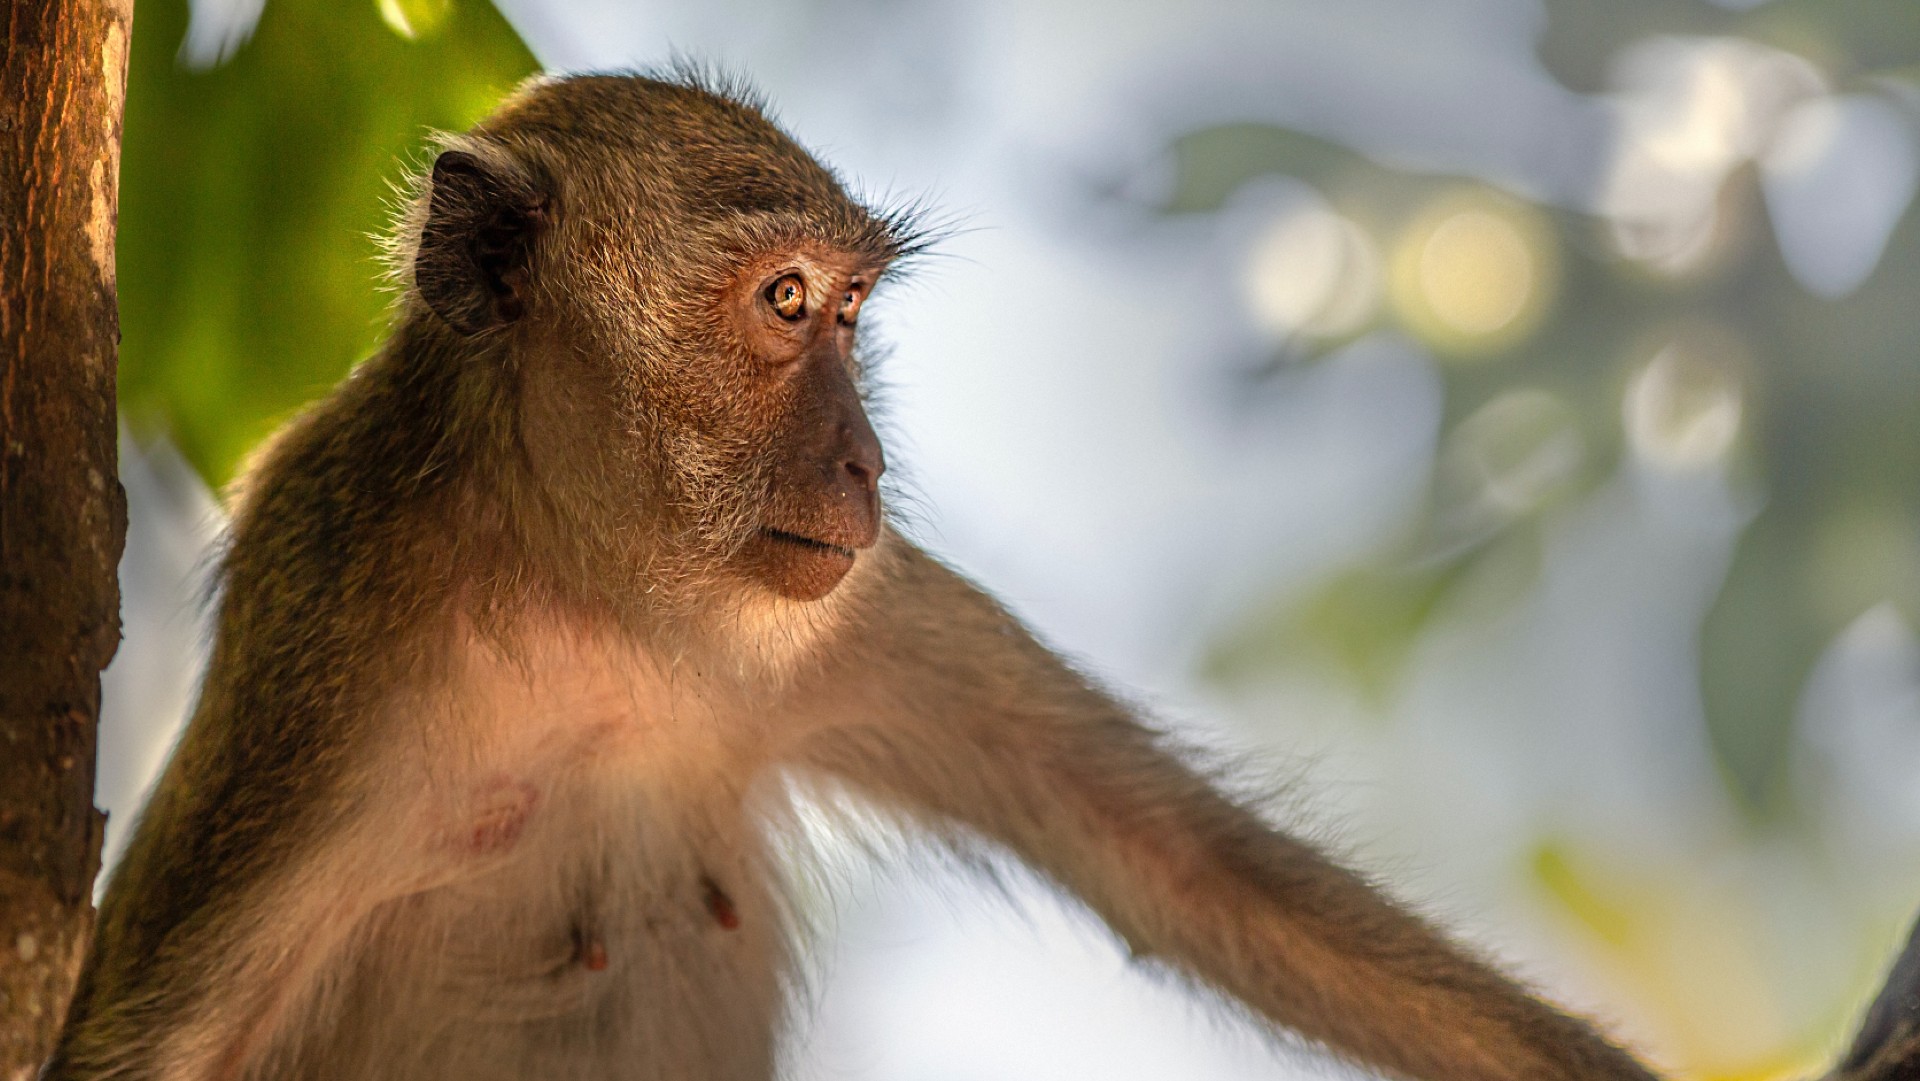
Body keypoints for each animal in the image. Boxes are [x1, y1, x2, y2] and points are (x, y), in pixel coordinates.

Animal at [45, 69, 1666, 1081]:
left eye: (854, 310)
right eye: (784, 302)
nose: (867, 462)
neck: (590, 597)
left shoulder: (849, 613)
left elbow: (1187, 867)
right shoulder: (339, 648)